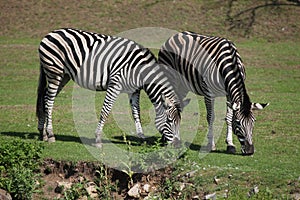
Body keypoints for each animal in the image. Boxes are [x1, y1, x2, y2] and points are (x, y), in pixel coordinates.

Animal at [36, 27, 186, 147]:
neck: (140, 70)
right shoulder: (115, 85)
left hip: (64, 75)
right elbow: (105, 110)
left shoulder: (134, 91)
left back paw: (43, 133)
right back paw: (50, 134)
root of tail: (51, 33)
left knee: (45, 97)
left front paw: (141, 137)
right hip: (54, 72)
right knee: (49, 100)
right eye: (169, 120)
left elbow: (136, 113)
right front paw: (97, 138)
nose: (178, 145)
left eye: (180, 122)